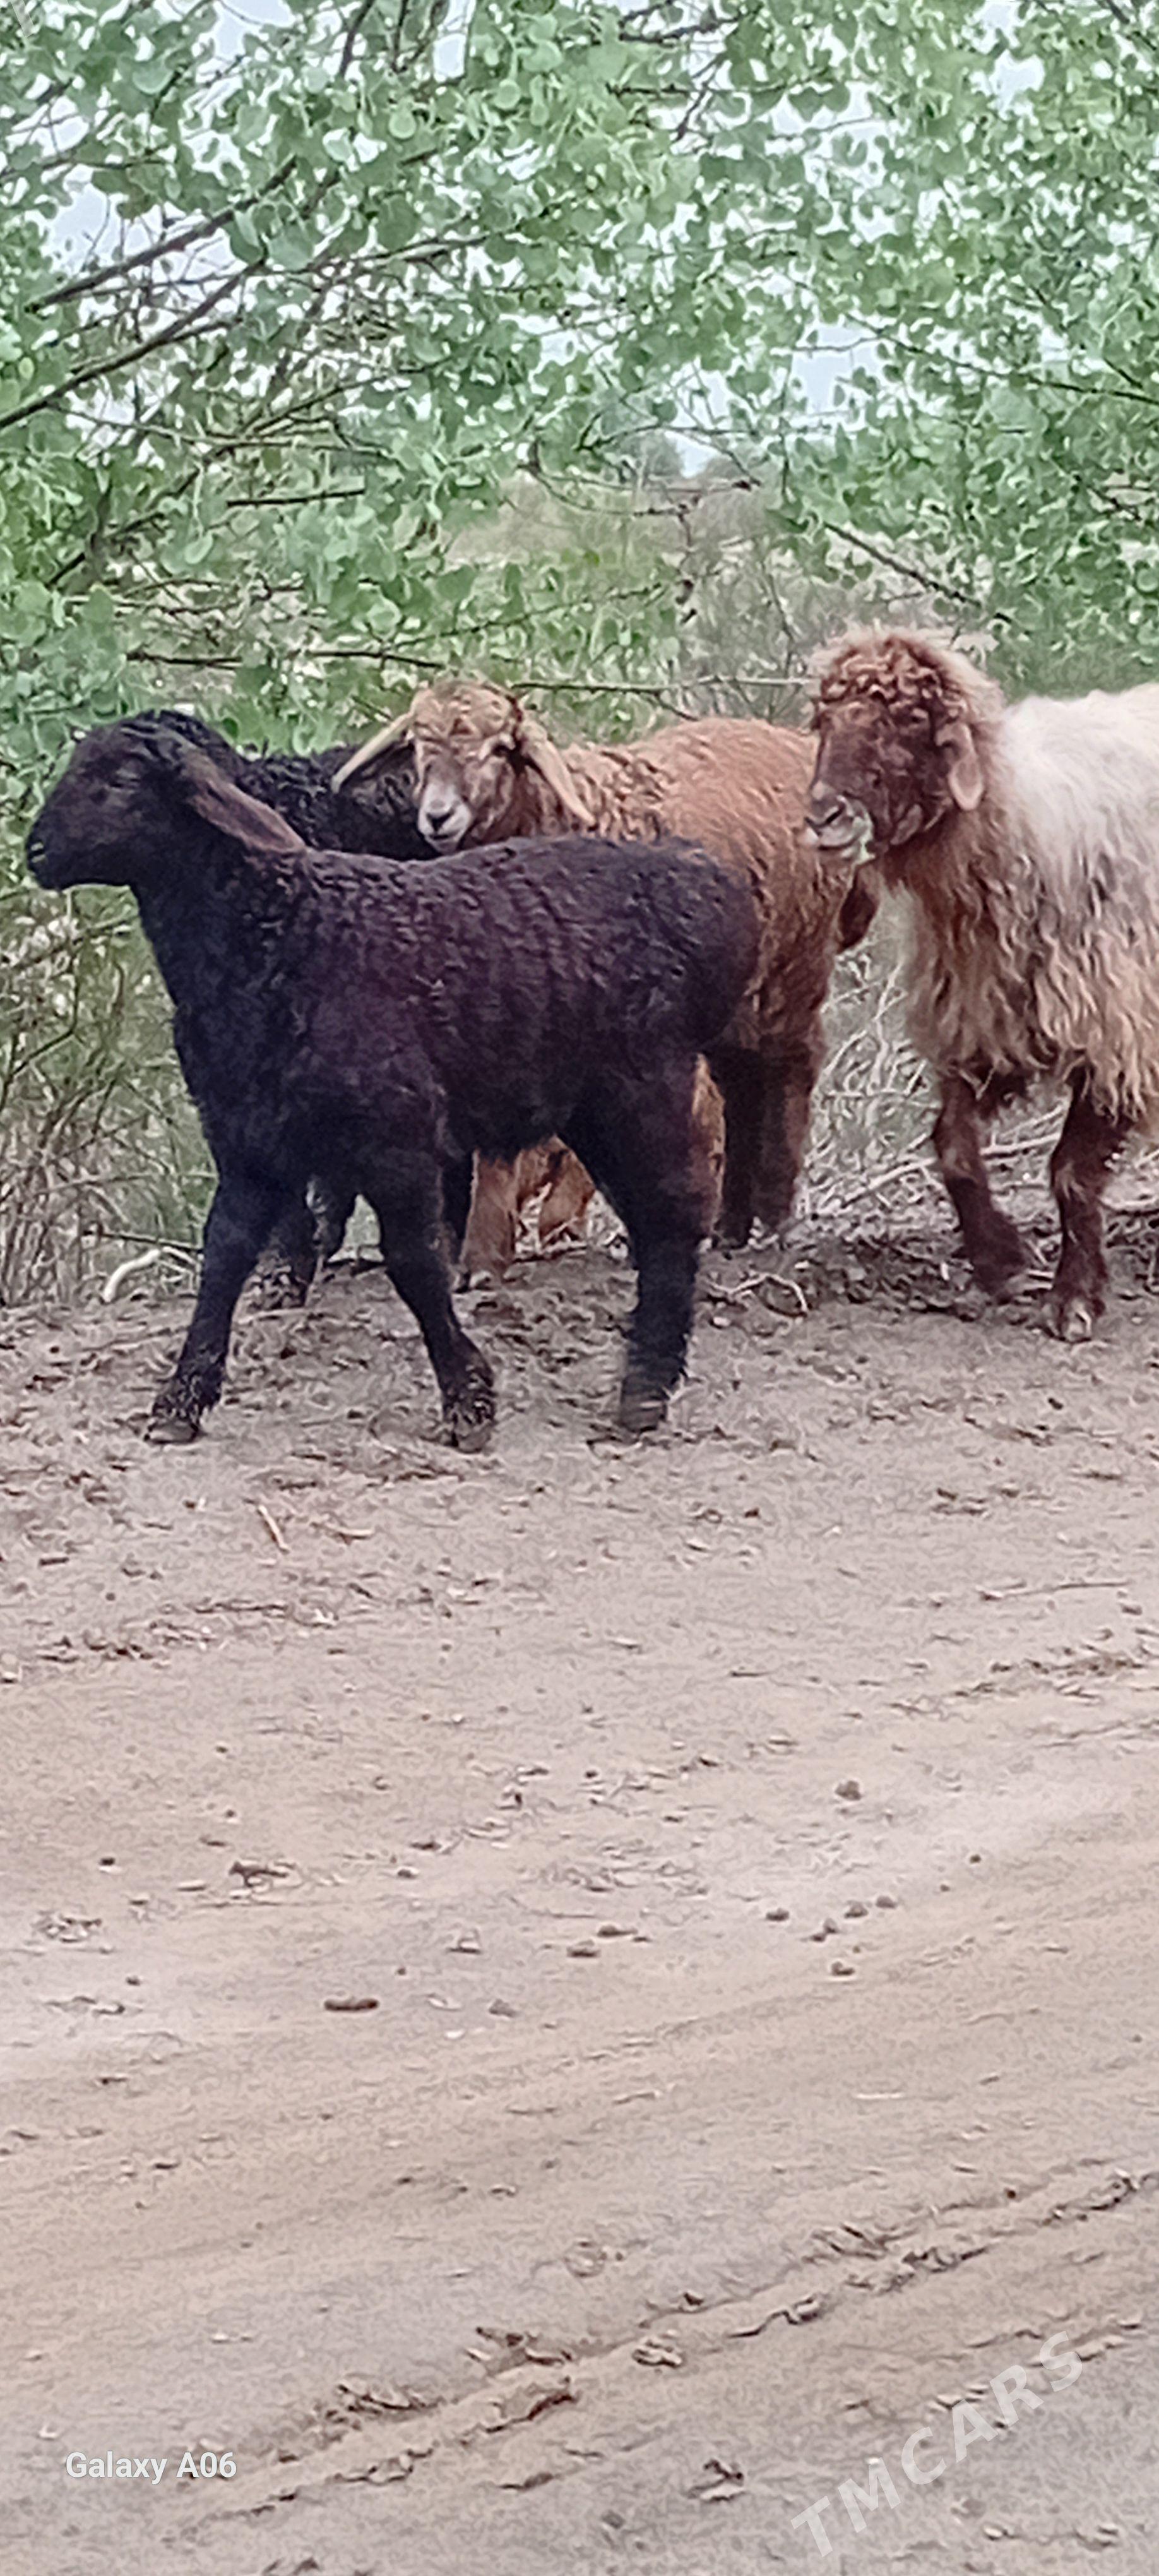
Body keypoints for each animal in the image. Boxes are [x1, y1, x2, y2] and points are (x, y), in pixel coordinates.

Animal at [27, 717, 760, 1446]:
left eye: (123, 779)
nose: (35, 851)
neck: (276, 937)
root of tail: (704, 887)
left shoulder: (395, 1137)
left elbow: (414, 1262)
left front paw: (469, 1400)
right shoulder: (245, 1138)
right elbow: (225, 1257)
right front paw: (182, 1398)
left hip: (644, 1083)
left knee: (672, 1215)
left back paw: (644, 1388)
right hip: (592, 1102)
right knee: (653, 1219)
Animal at [336, 681, 878, 1264]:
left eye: (500, 749)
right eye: (418, 746)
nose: (439, 816)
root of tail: (796, 748)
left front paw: (497, 1250)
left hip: (796, 963)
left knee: (792, 1067)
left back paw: (775, 1219)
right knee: (739, 1083)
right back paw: (730, 1227)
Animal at [808, 626, 1159, 1339]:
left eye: (907, 723)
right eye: (824, 721)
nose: (824, 816)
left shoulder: (1117, 1030)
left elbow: (1071, 1174)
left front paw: (1074, 1298)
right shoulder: (984, 1022)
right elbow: (953, 1148)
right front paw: (999, 1261)